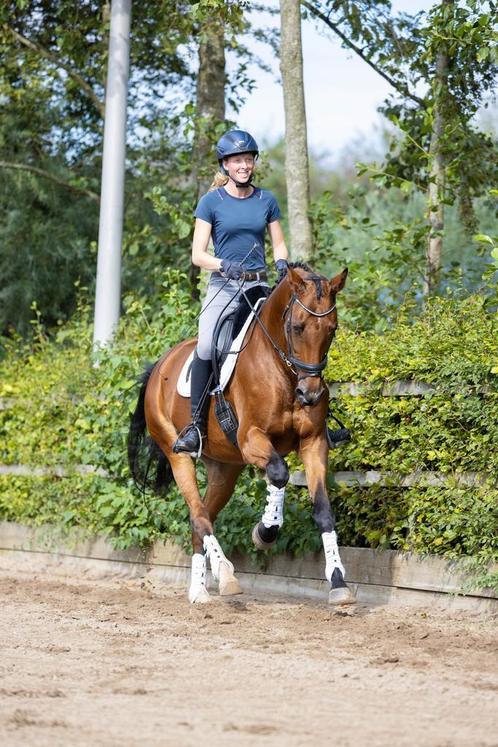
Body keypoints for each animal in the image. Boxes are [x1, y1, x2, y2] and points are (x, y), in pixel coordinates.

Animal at [128, 266, 354, 604]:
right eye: (298, 327)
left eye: (332, 328)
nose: (310, 395)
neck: (283, 371)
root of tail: (159, 365)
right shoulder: (251, 439)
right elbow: (279, 473)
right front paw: (265, 532)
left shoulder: (313, 443)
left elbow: (321, 508)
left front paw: (338, 581)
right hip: (177, 453)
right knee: (199, 515)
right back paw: (224, 573)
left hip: (225, 468)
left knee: (202, 518)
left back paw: (200, 589)